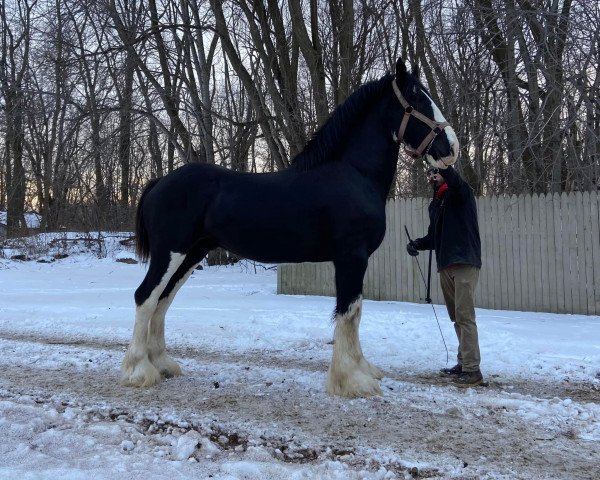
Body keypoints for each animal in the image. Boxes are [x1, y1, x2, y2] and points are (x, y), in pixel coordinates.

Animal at [123, 58, 460, 398]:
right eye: (417, 100)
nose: (452, 148)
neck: (354, 174)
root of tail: (159, 182)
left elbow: (354, 313)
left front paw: (362, 371)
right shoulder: (351, 257)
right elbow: (349, 311)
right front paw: (353, 380)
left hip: (192, 253)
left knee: (162, 301)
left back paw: (162, 365)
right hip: (171, 252)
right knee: (145, 297)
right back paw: (139, 371)